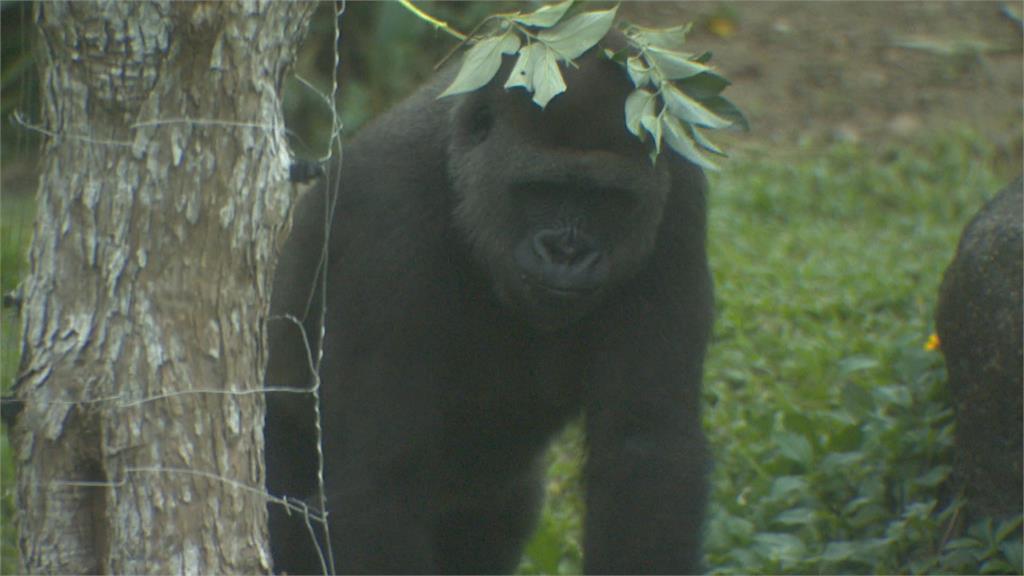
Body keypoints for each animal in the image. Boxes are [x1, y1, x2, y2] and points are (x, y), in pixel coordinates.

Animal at [264, 35, 712, 573]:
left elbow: (646, 448)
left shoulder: (679, 191)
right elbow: (378, 488)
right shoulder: (384, 217)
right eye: (542, 189)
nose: (567, 252)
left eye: (608, 198)